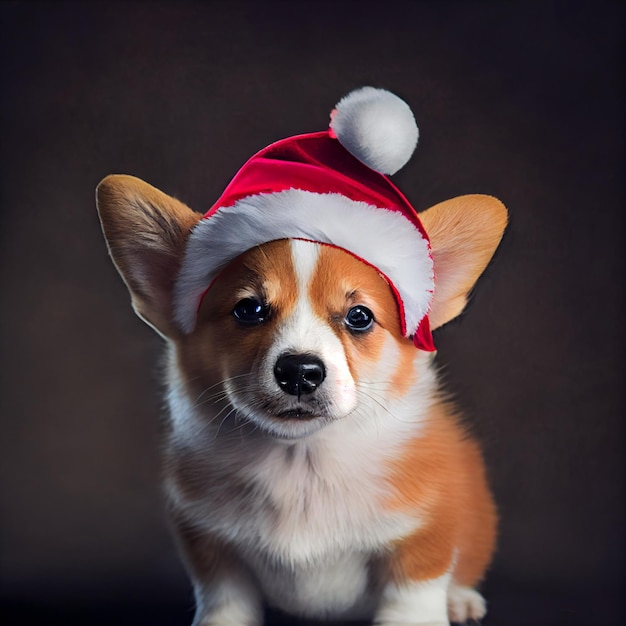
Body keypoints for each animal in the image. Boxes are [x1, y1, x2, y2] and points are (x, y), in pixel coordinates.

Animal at [97, 89, 508, 624]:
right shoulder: (211, 548)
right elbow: (225, 602)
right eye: (248, 310)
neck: (302, 462)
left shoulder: (423, 538)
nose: (299, 371)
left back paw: (461, 600)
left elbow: (411, 600)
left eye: (359, 317)